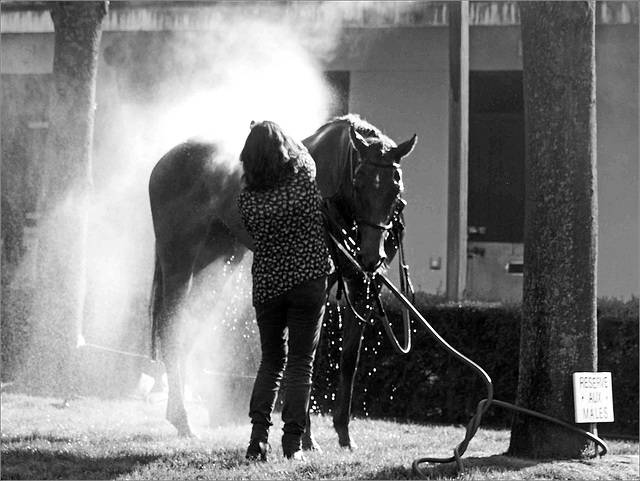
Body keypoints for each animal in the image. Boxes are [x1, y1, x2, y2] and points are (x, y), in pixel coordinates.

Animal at [148, 114, 418, 448]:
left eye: (395, 185)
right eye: (359, 182)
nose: (370, 256)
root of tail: (167, 160)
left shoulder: (363, 287)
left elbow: (348, 361)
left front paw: (344, 434)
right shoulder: (316, 286)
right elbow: (310, 358)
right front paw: (306, 438)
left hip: (213, 266)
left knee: (186, 329)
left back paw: (179, 416)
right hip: (179, 262)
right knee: (171, 326)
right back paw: (182, 419)